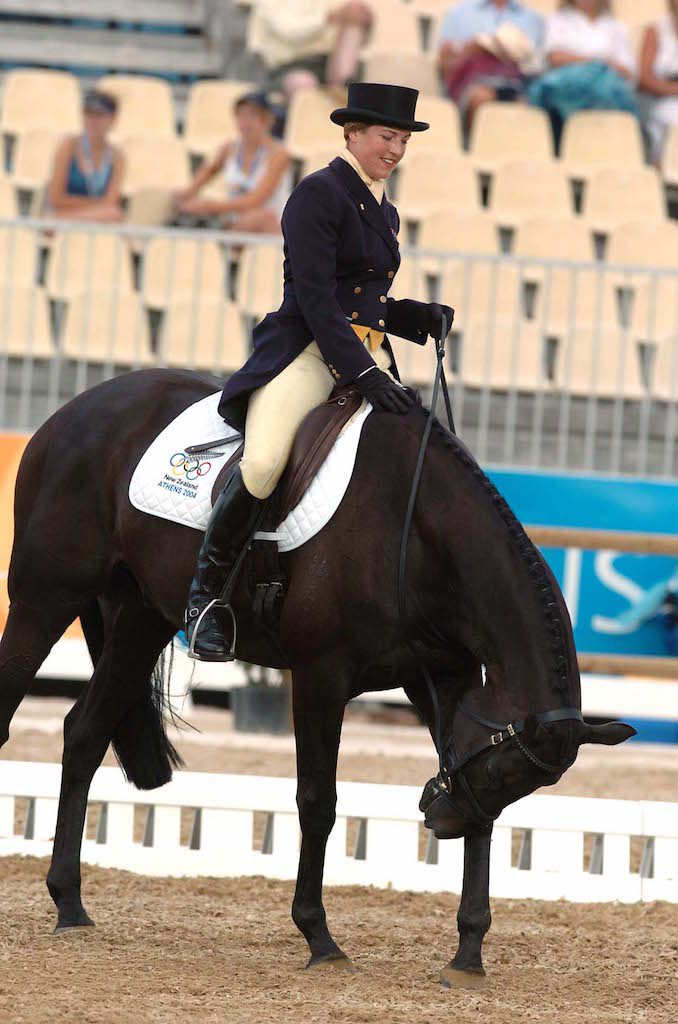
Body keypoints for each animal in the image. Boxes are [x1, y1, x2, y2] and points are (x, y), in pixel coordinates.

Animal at [1, 366, 639, 983]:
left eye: (515, 784)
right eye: (503, 771)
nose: (440, 821)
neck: (416, 531)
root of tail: (75, 410)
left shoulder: (441, 680)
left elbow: (473, 810)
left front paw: (468, 952)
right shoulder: (321, 676)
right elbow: (318, 801)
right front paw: (319, 938)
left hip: (141, 616)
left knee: (85, 733)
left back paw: (70, 905)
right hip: (46, 596)